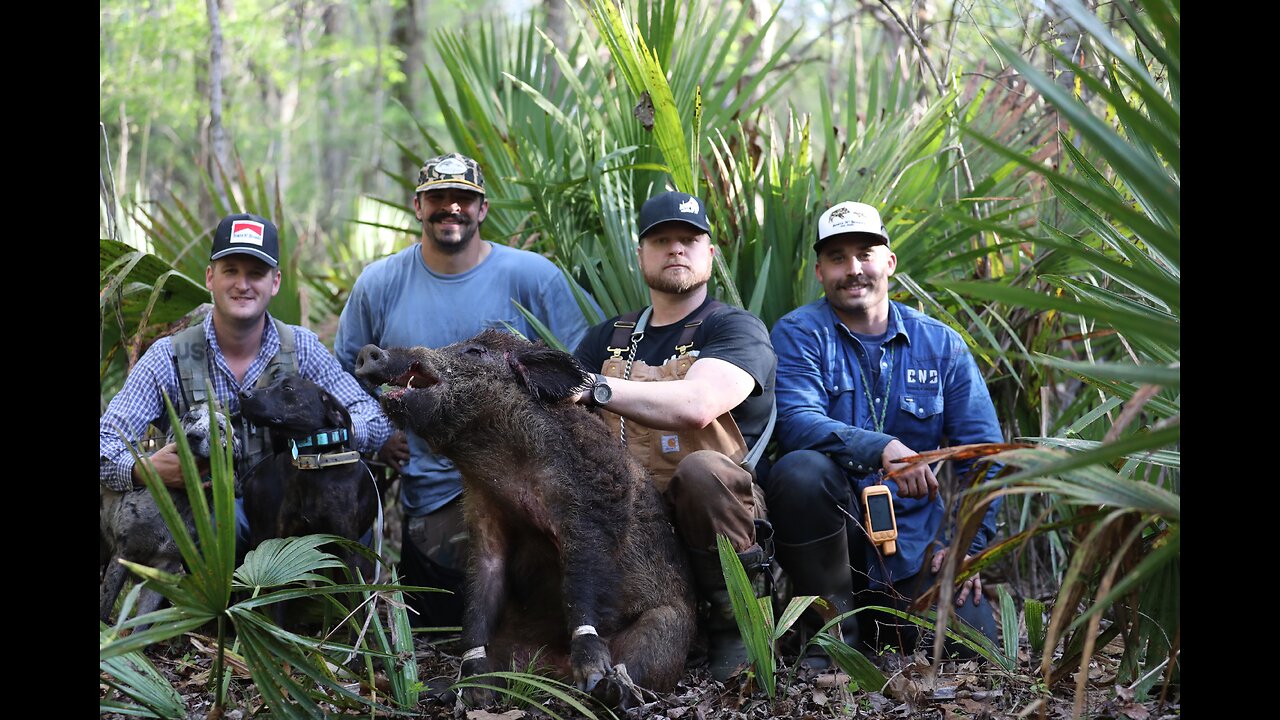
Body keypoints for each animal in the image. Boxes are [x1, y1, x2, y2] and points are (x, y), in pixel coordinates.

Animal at [101, 397, 240, 622]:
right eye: (190, 419)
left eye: (219, 428)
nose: (194, 436)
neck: (177, 503)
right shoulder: (123, 557)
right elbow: (104, 613)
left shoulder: (164, 570)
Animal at [239, 371, 378, 586]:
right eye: (271, 384)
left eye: (288, 388)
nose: (242, 394)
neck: (314, 465)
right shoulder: (283, 543)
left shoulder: (348, 552)